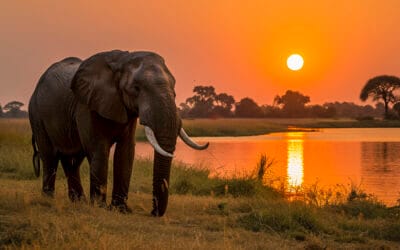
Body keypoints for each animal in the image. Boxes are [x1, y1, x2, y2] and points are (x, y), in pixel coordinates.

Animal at [28, 49, 209, 216]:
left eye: (174, 89)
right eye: (136, 88)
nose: (153, 212)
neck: (122, 61)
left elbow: (126, 151)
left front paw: (121, 209)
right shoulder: (86, 105)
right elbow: (98, 149)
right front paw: (100, 208)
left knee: (72, 160)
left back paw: (79, 202)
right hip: (36, 115)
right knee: (50, 157)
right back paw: (49, 200)